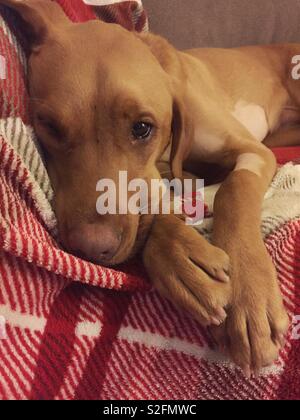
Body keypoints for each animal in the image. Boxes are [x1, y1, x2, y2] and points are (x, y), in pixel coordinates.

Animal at [1, 0, 292, 376]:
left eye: (142, 128)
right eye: (50, 126)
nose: (92, 249)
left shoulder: (253, 151)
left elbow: (234, 189)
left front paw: (248, 294)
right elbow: (156, 197)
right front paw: (179, 255)